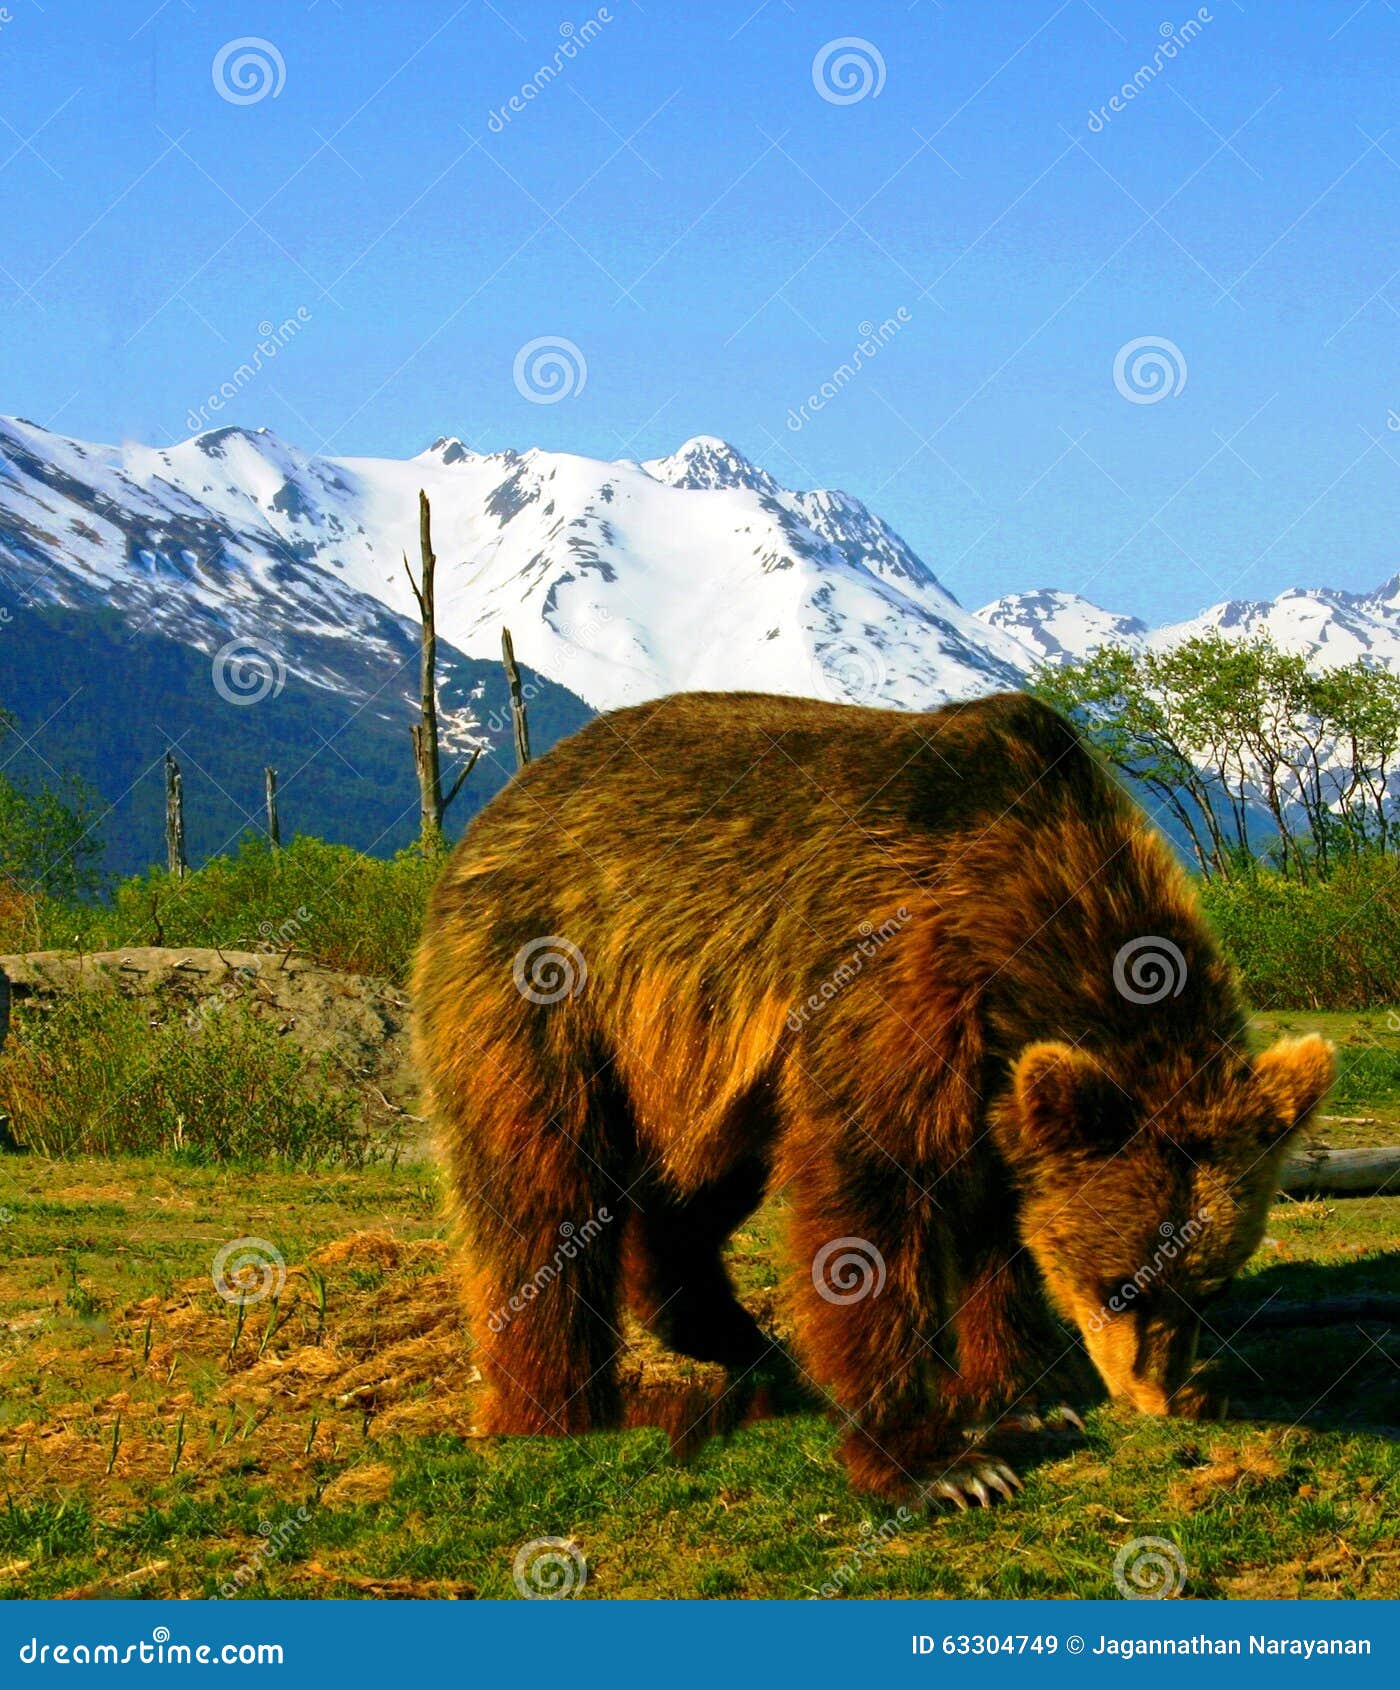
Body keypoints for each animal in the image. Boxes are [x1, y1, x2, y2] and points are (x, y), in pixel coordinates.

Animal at [410, 686, 1325, 1507]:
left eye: (1210, 1284)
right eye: (1116, 1283)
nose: (1155, 1398)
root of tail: (498, 808)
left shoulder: (992, 1077)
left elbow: (998, 1223)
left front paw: (1027, 1392)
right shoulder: (897, 974)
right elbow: (873, 1195)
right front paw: (942, 1466)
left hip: (703, 1065)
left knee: (696, 1187)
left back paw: (741, 1341)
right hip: (546, 980)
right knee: (542, 1188)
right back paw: (561, 1408)